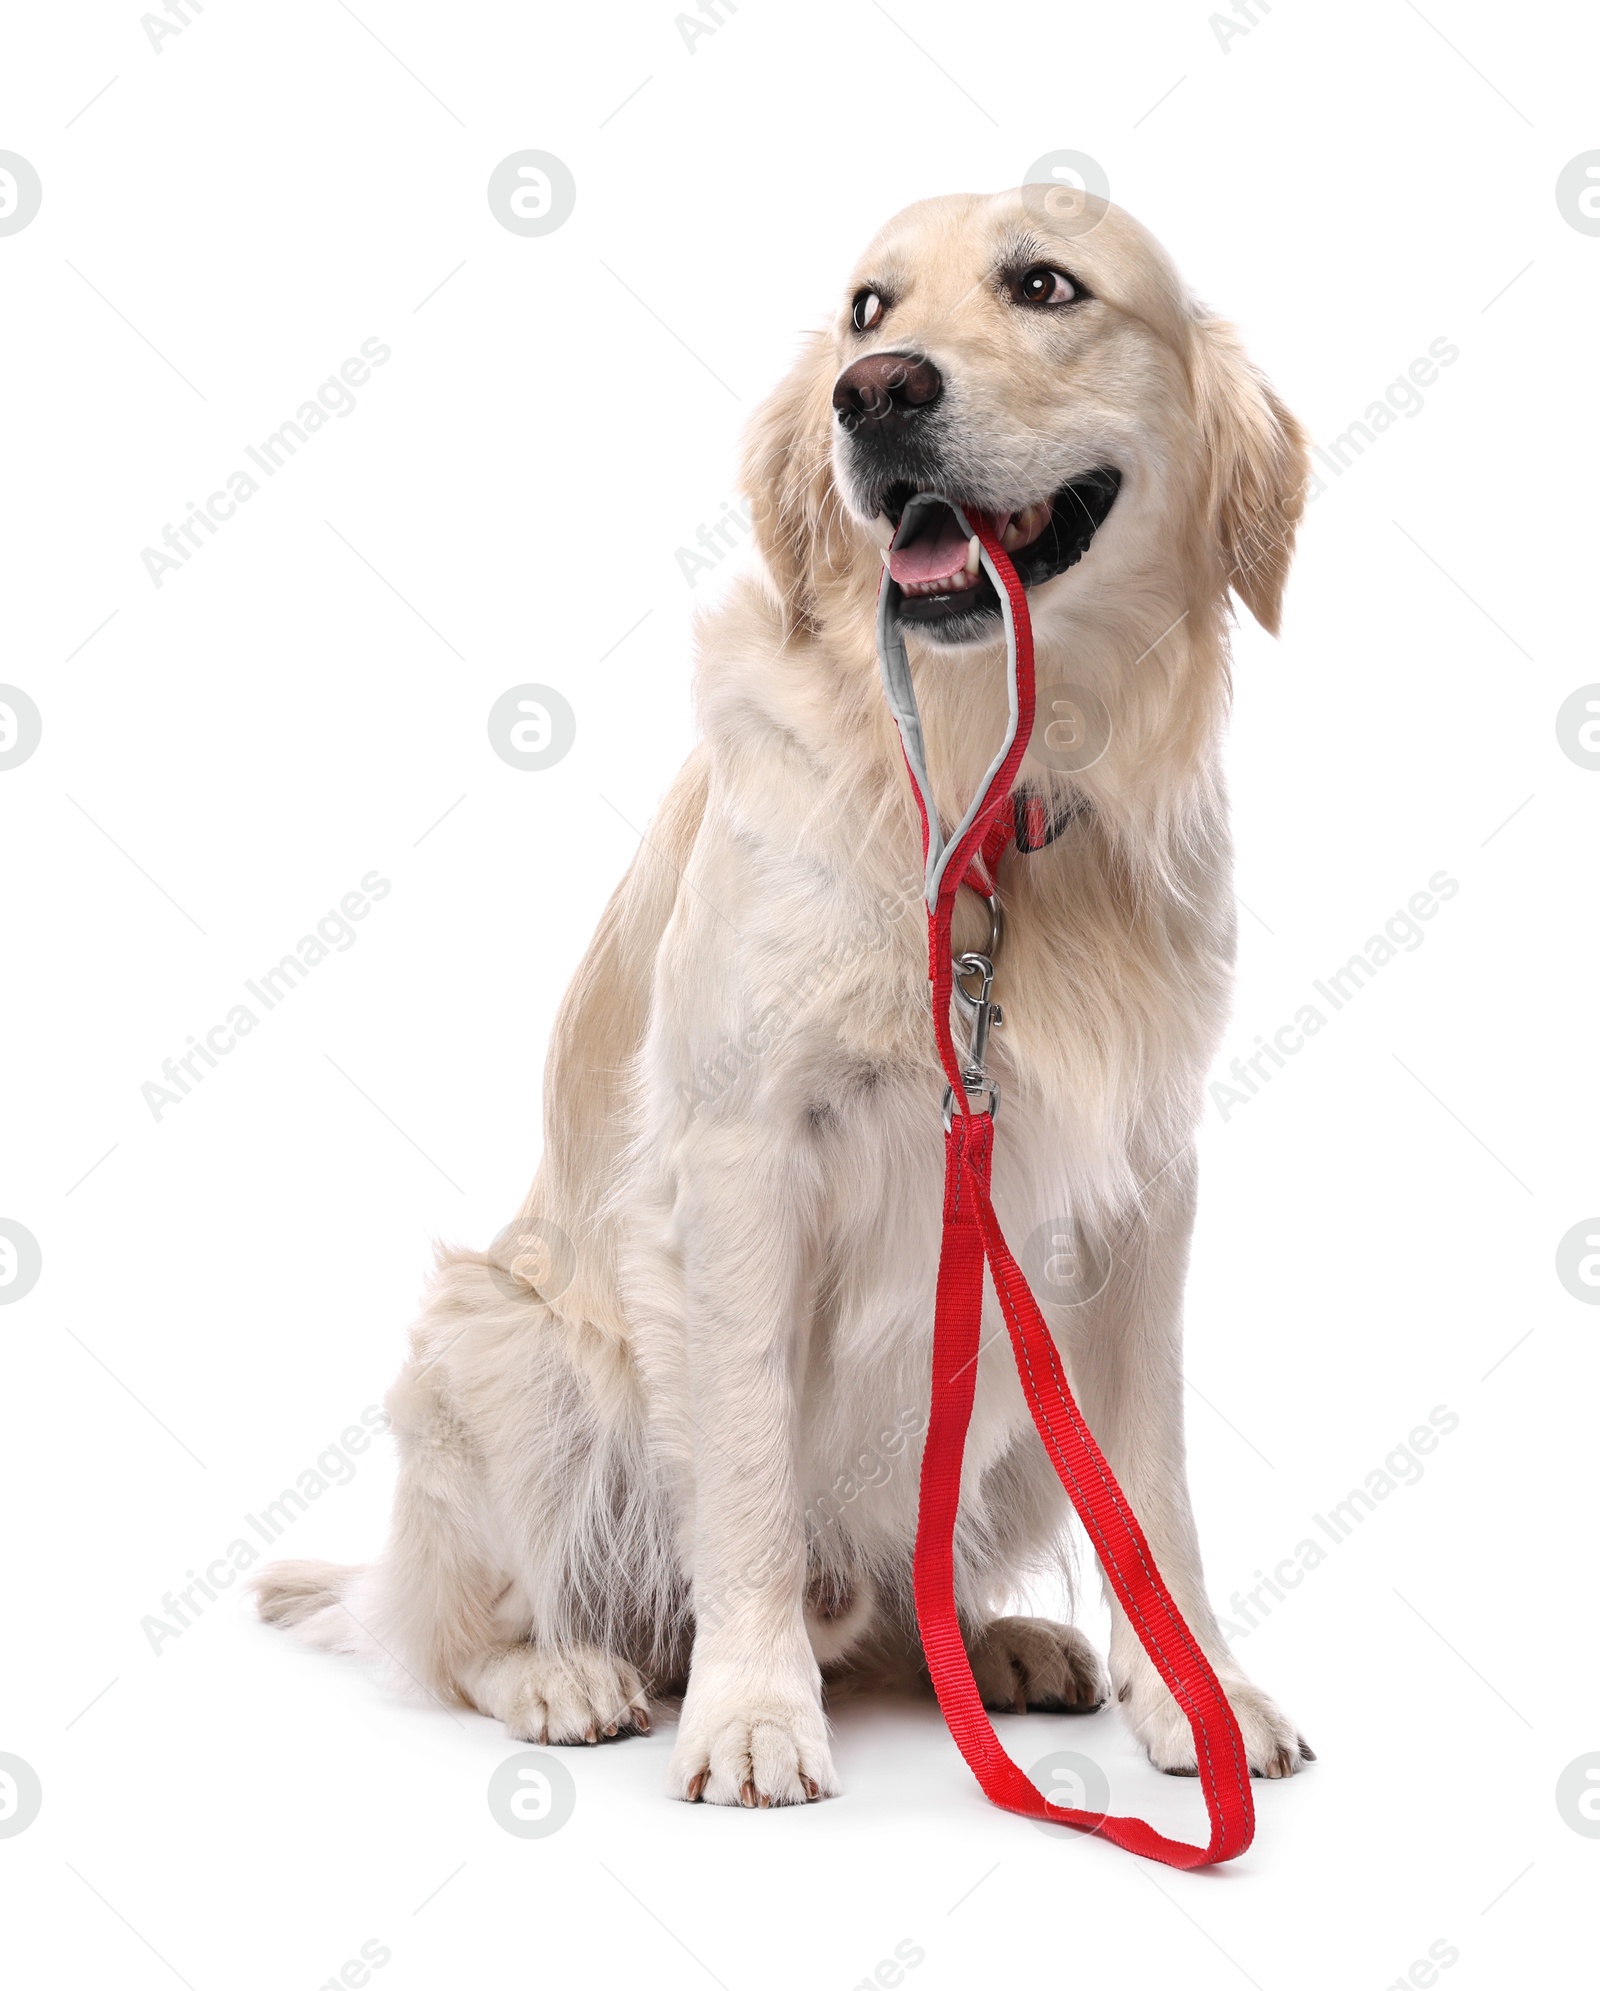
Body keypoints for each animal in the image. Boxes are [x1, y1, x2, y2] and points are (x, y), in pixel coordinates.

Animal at [256, 187, 1313, 1807]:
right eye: (869, 307)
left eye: (1046, 284)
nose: (870, 395)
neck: (978, 789)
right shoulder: (745, 1153)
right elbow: (747, 1461)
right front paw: (753, 1710)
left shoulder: (1143, 1184)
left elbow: (1153, 1489)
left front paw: (1198, 1690)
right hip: (508, 1348)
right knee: (456, 1631)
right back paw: (570, 1670)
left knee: (902, 1609)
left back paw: (997, 1642)